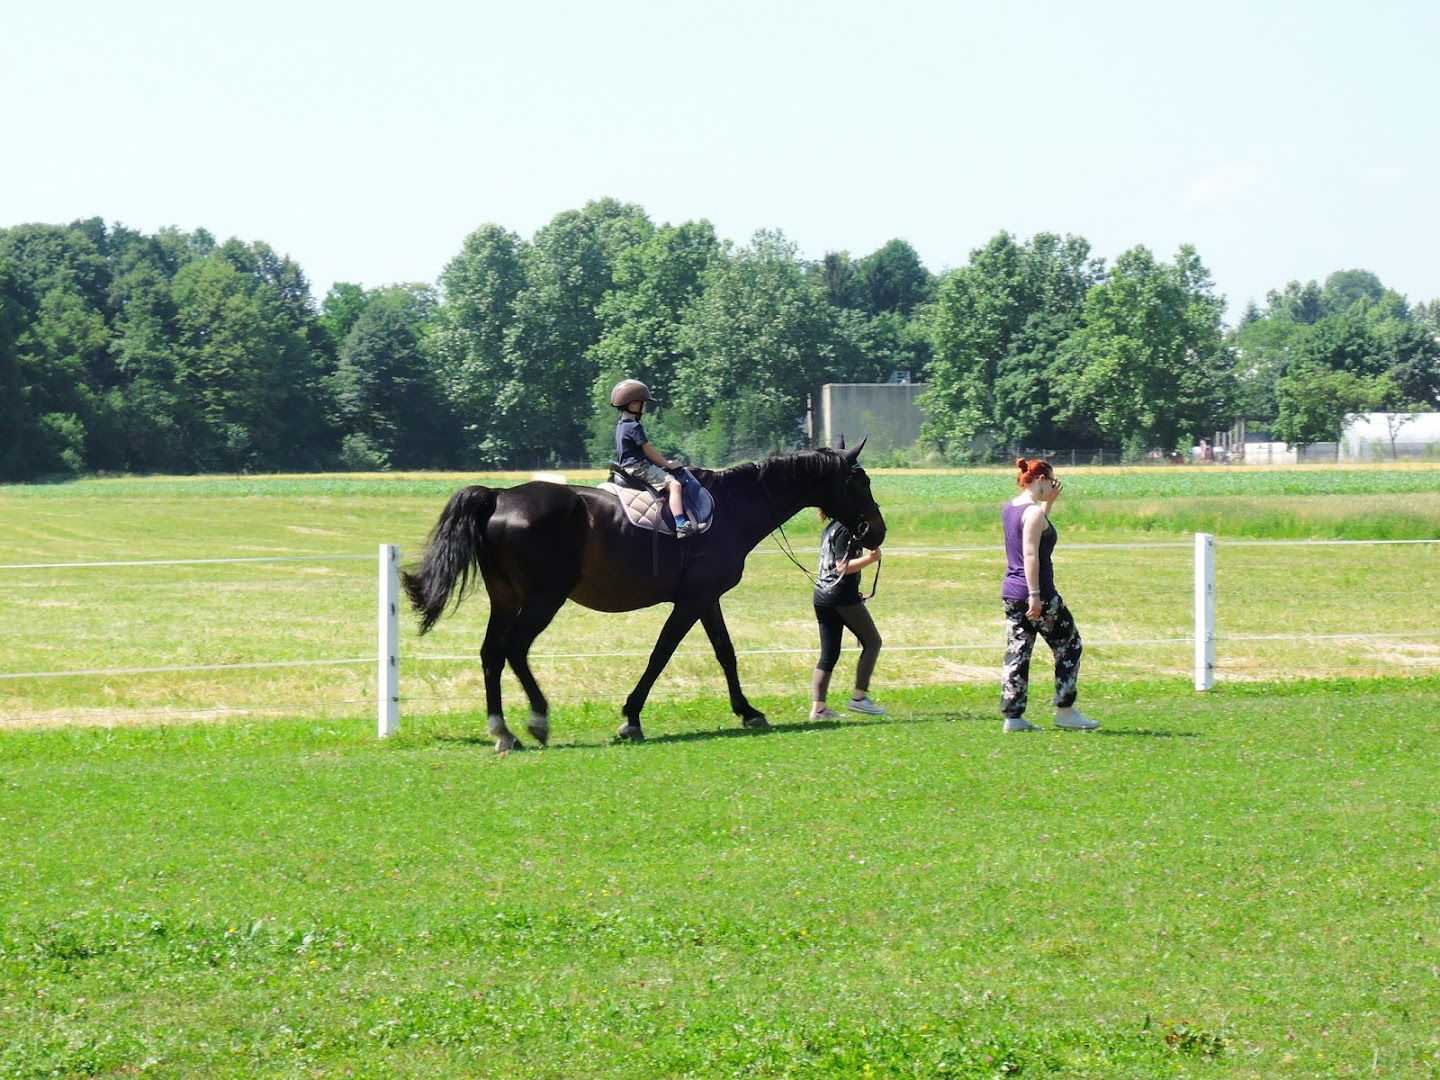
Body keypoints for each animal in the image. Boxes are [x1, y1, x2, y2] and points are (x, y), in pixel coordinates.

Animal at [400, 440, 881, 754]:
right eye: (860, 482)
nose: (877, 531)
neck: (732, 507)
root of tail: (499, 496)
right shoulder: (691, 602)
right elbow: (661, 655)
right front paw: (631, 718)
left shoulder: (706, 600)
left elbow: (725, 654)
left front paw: (747, 711)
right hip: (542, 599)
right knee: (515, 650)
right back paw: (536, 719)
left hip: (505, 600)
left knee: (492, 654)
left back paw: (503, 731)